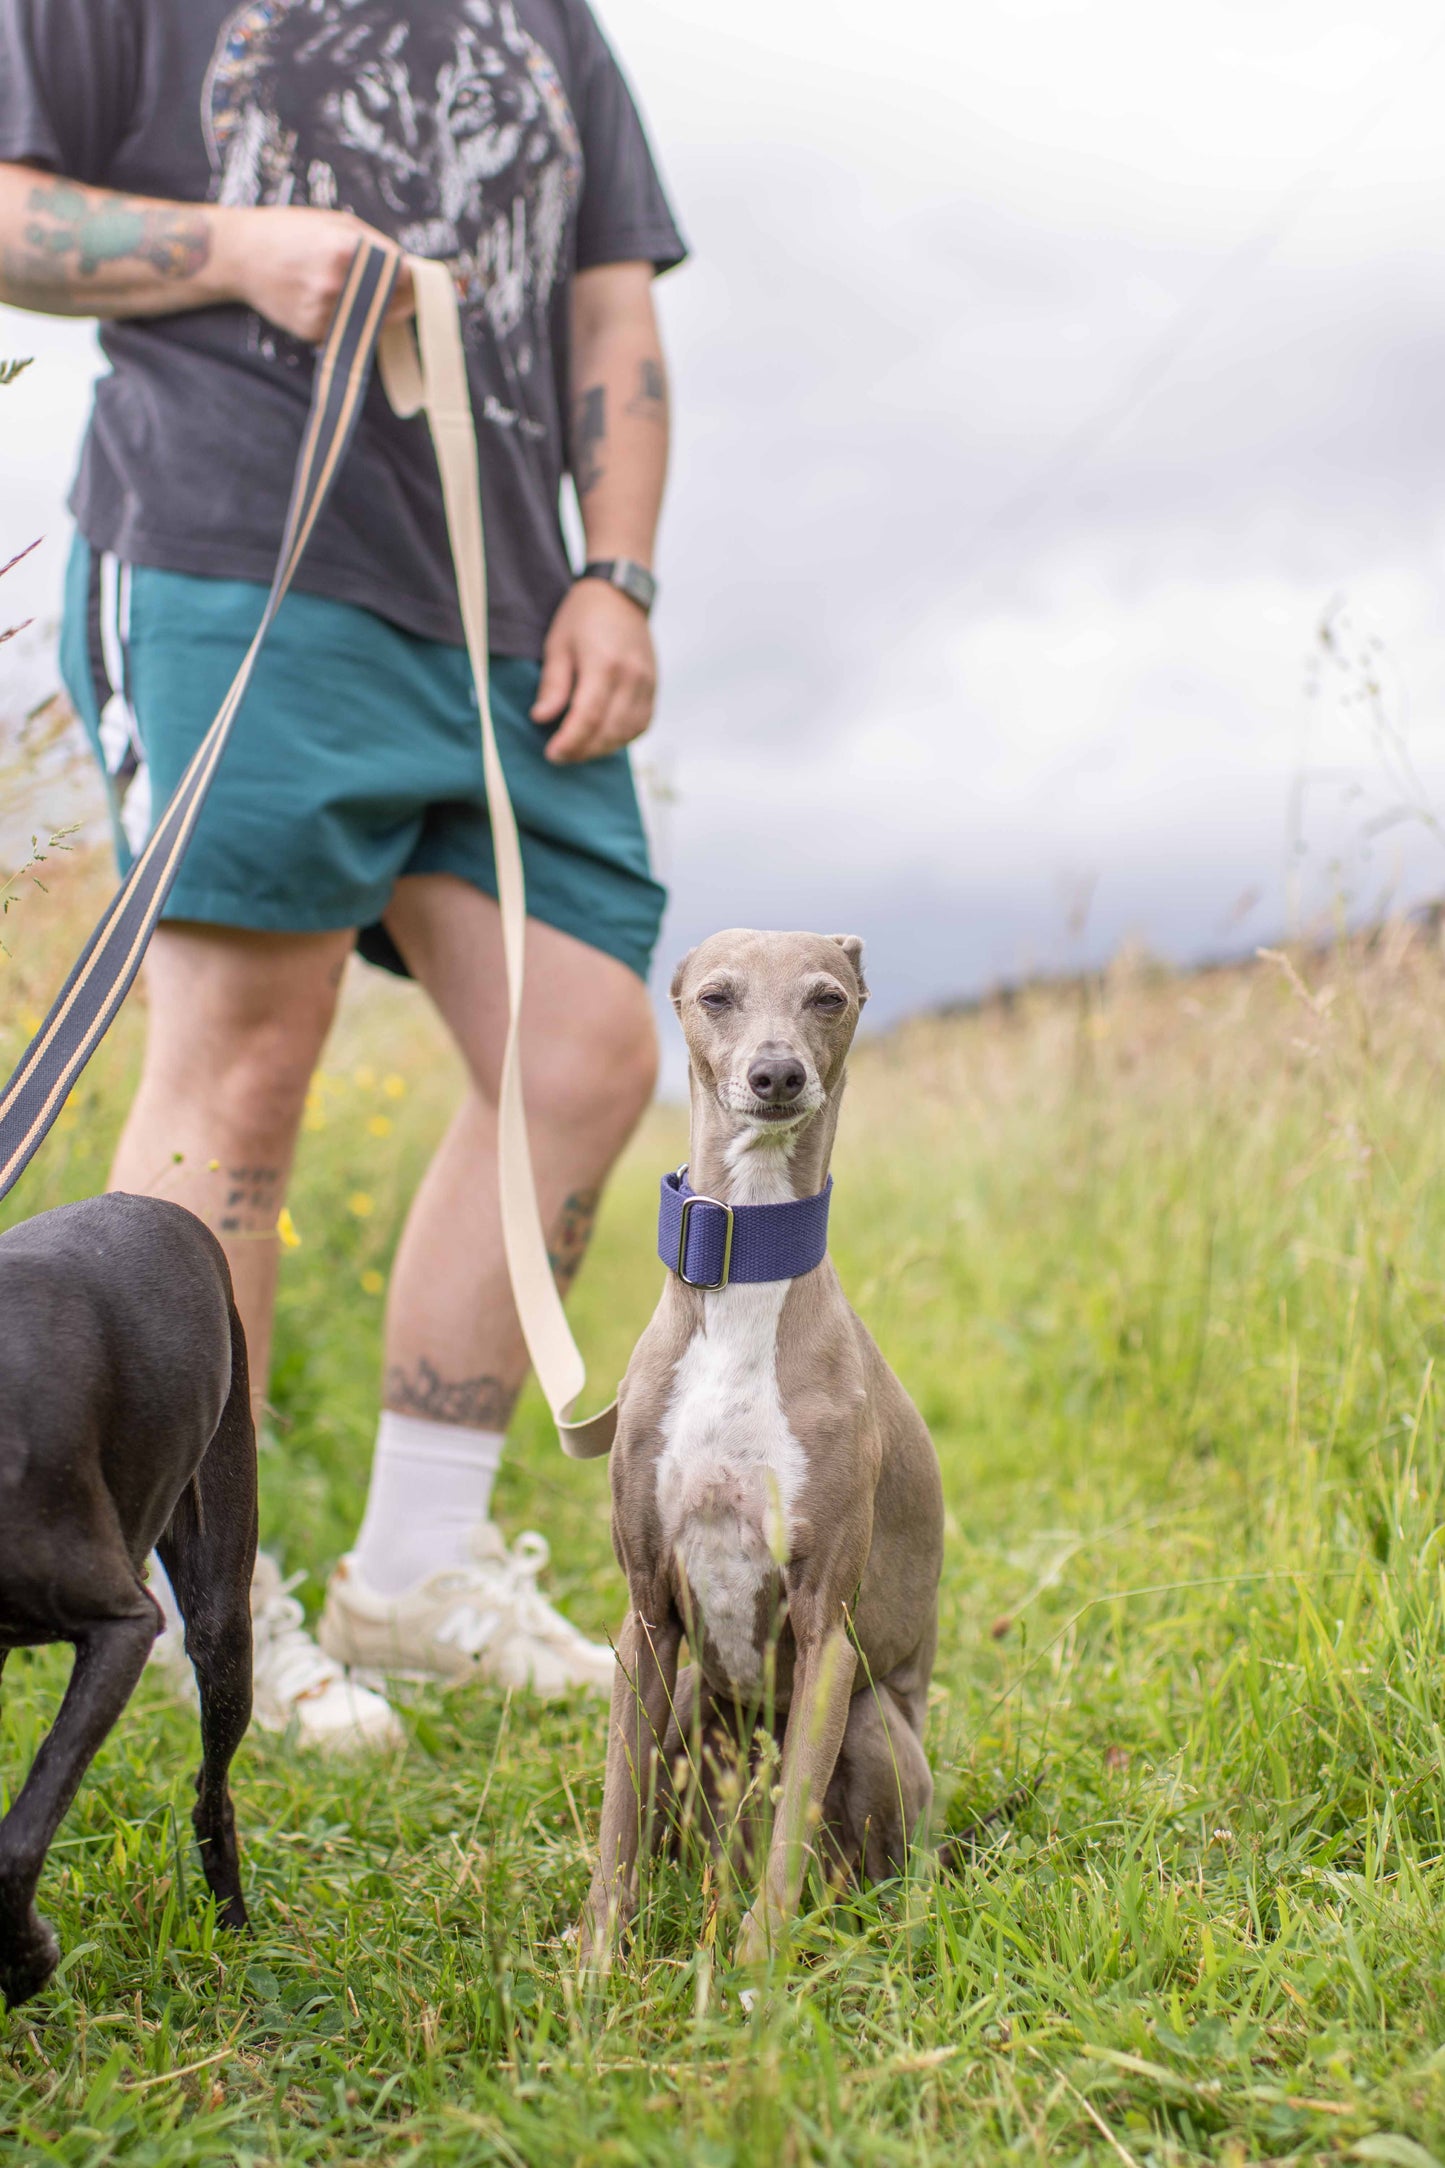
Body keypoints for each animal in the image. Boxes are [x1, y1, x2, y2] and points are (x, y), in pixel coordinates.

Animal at [0, 1196, 256, 2003]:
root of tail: (161, 1207)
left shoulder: (123, 1627)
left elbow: (18, 1839)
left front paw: (26, 1963)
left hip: (219, 1624)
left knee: (212, 1790)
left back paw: (235, 1931)